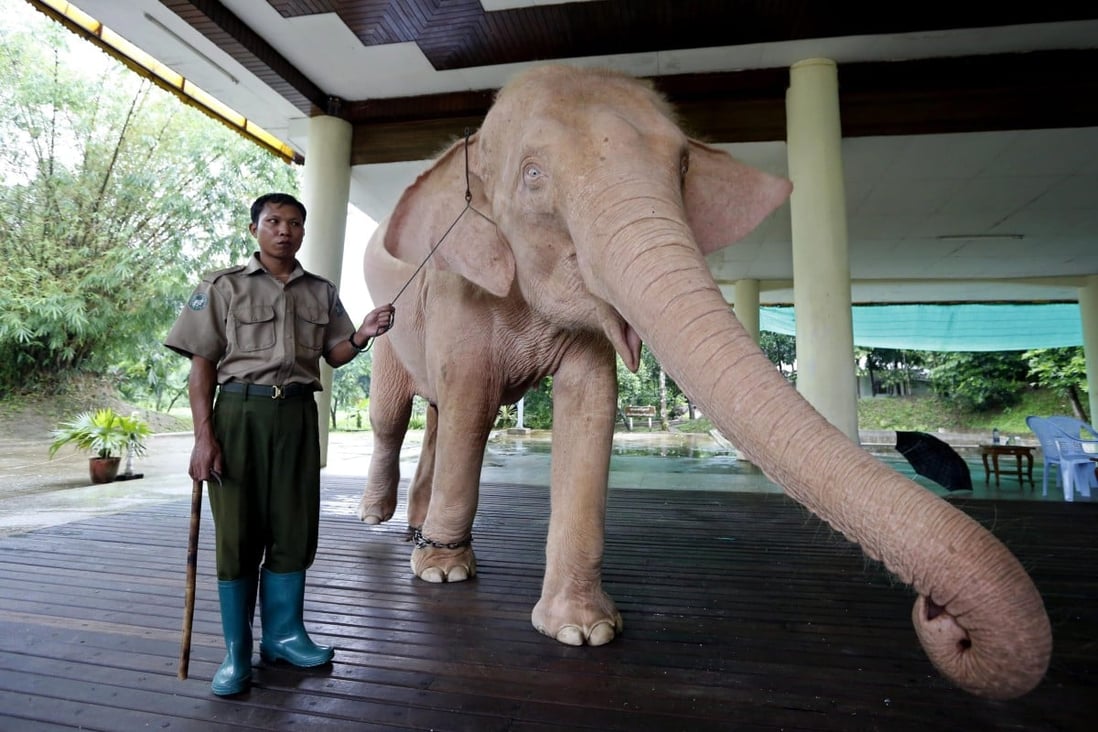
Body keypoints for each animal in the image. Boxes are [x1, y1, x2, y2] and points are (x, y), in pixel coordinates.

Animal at [357, 64, 1050, 700]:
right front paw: (444, 575)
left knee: (437, 417)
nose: (942, 617)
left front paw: (584, 632)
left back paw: (415, 530)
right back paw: (382, 521)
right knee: (402, 416)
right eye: (532, 175)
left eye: (684, 165)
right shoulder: (457, 291)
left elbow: (591, 407)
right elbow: (473, 403)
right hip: (392, 336)